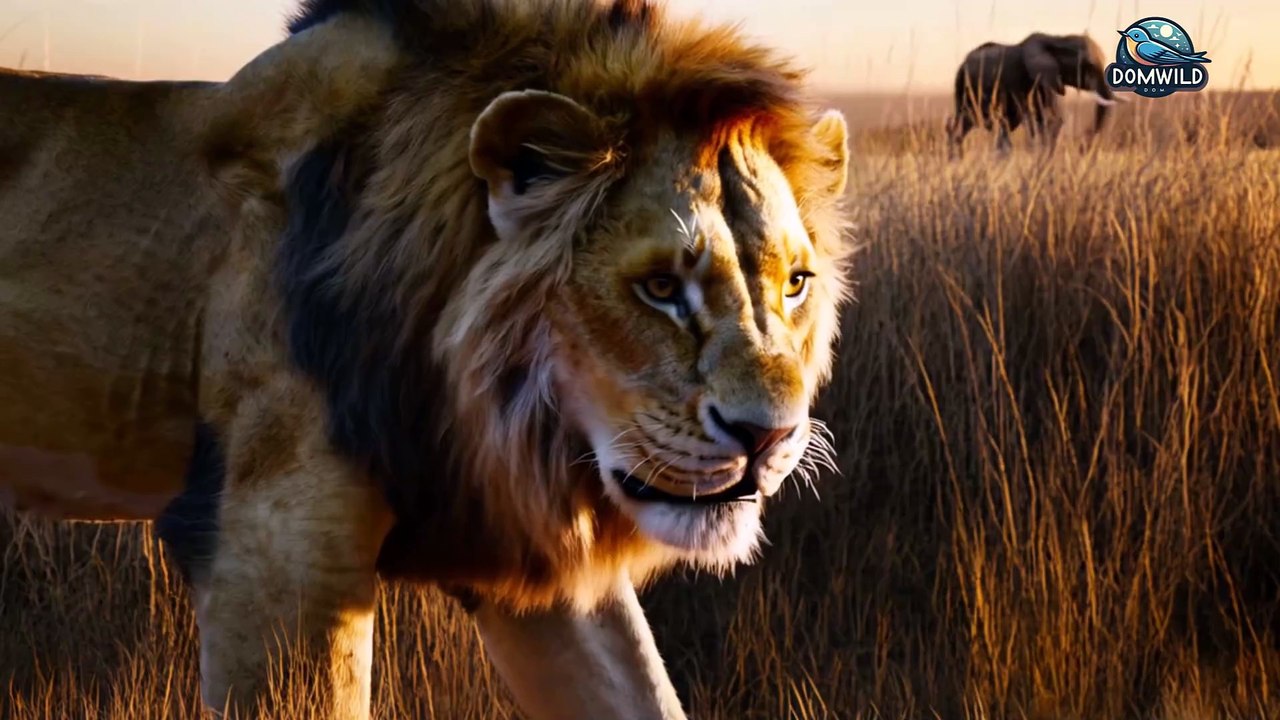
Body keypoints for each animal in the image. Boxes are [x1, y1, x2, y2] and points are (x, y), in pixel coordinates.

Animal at [0, 0, 852, 718]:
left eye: (796, 283)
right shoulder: (271, 550)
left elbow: (642, 694)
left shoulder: (516, 542)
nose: (769, 438)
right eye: (660, 287)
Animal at [946, 33, 1120, 156]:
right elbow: (1038, 119)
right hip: (964, 86)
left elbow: (1052, 119)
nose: (1082, 148)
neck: (1057, 40)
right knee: (963, 123)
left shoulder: (1047, 82)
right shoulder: (1025, 80)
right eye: (1088, 66)